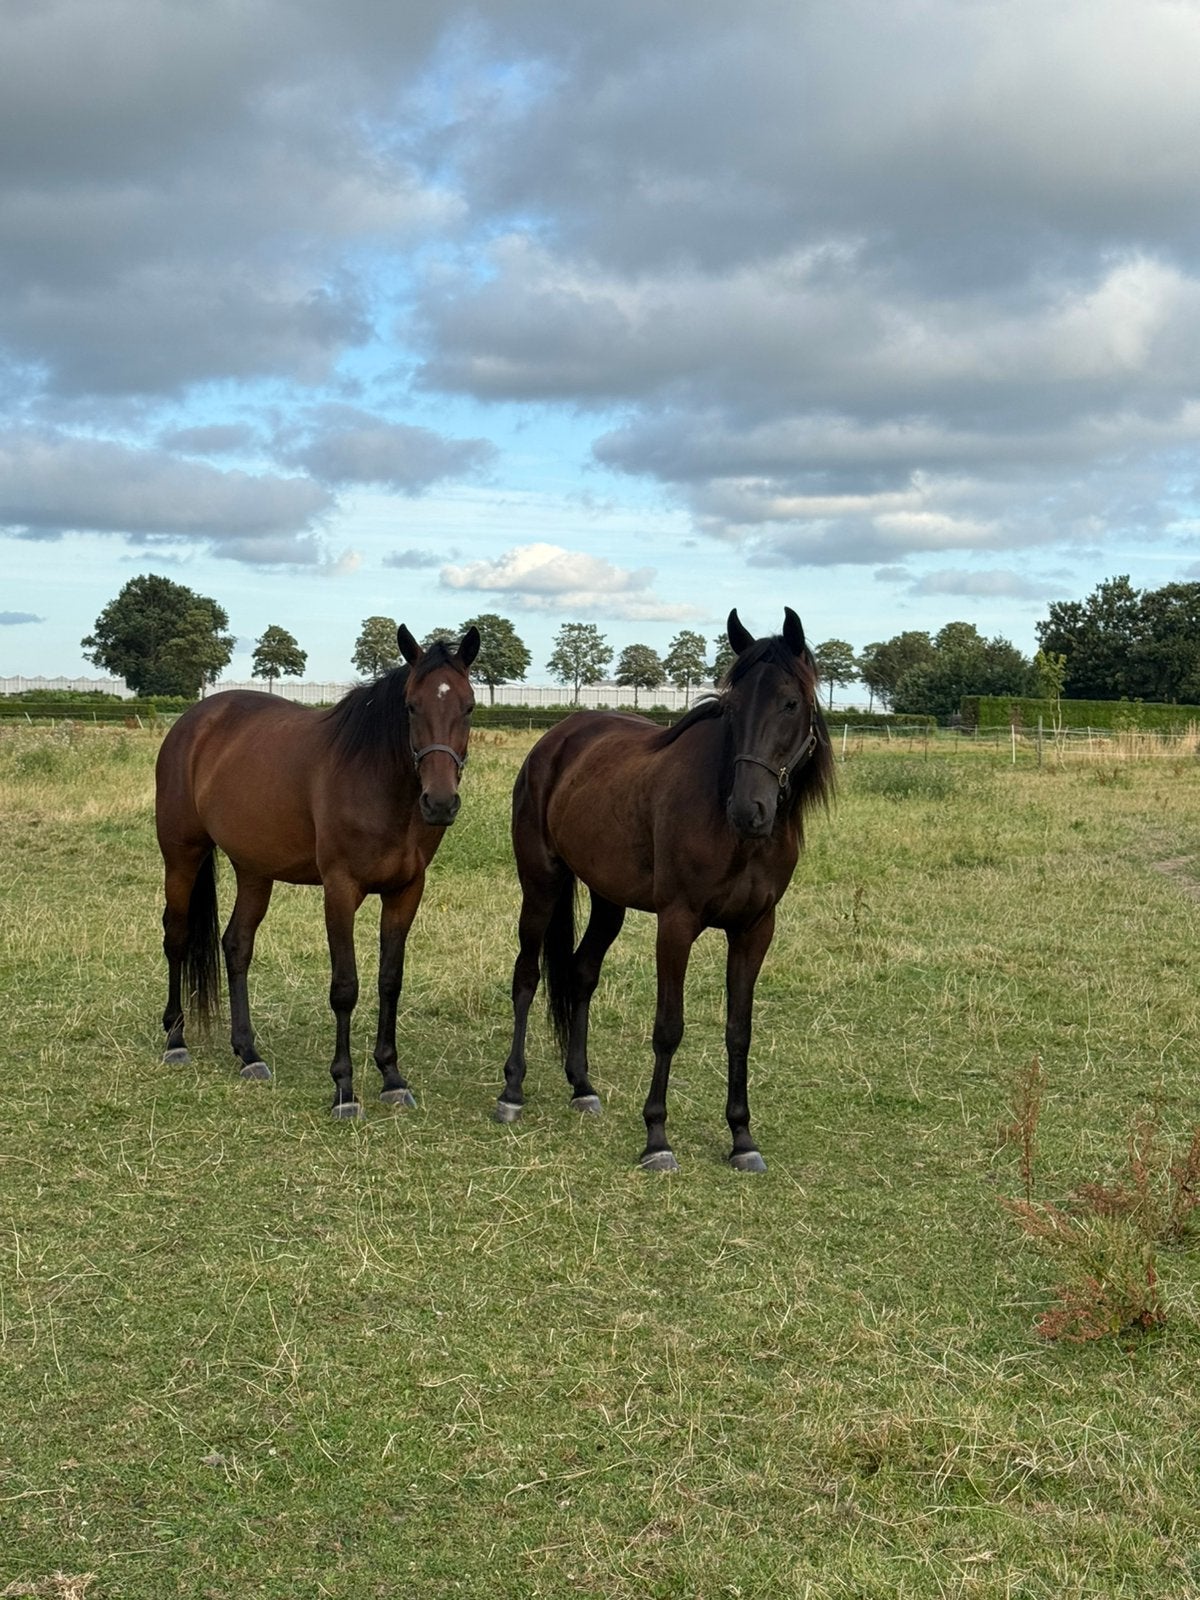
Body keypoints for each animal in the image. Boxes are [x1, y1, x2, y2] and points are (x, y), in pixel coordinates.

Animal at [154, 623, 480, 1117]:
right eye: (411, 706)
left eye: (469, 706)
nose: (440, 803)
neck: (376, 781)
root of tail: (194, 721)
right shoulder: (340, 890)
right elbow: (345, 986)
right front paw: (344, 1088)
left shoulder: (406, 891)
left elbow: (390, 981)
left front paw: (392, 1077)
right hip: (182, 856)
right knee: (176, 936)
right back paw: (176, 1039)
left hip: (254, 869)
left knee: (236, 946)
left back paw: (248, 1053)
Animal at [495, 607, 833, 1171]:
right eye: (732, 707)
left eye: (790, 703)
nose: (749, 810)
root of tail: (555, 739)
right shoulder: (677, 924)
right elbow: (668, 1027)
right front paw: (656, 1137)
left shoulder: (754, 930)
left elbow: (739, 1031)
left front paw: (742, 1137)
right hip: (541, 884)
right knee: (526, 977)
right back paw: (512, 1092)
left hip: (608, 899)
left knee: (581, 974)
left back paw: (582, 1087)